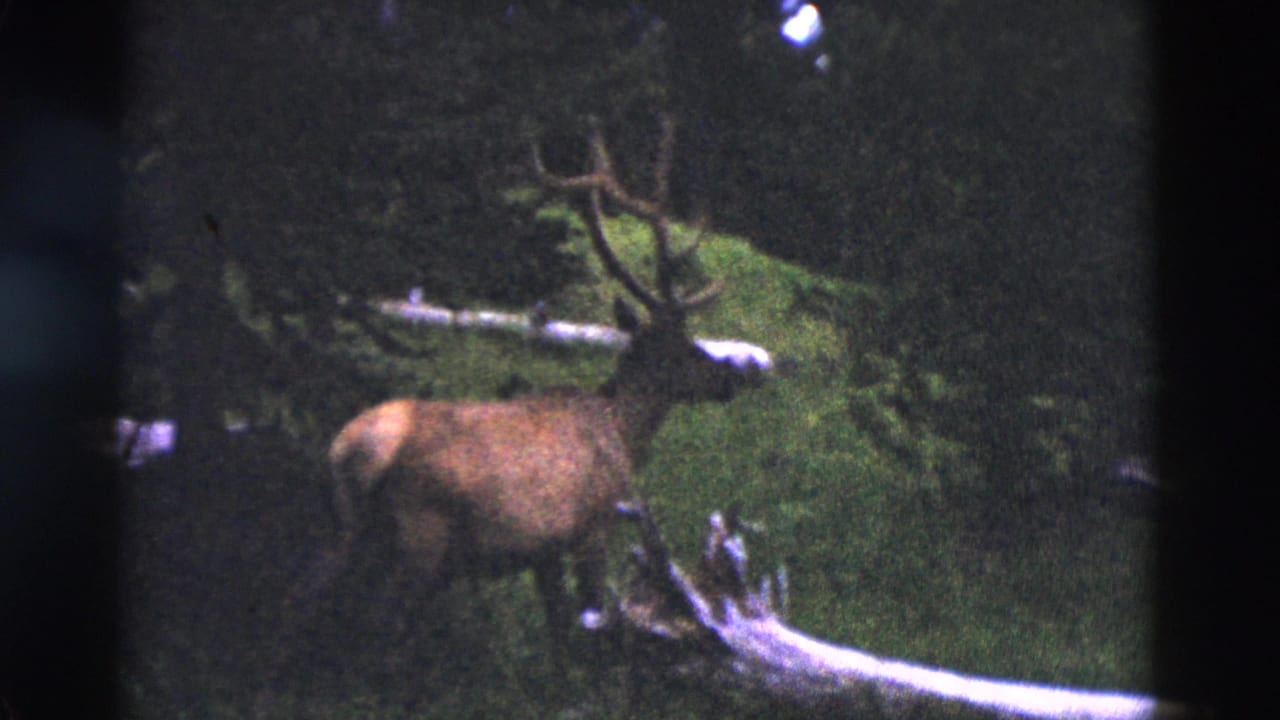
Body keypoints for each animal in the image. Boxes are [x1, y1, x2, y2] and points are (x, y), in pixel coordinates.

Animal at [285, 116, 762, 680]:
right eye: (686, 348)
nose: (727, 378)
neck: (623, 431)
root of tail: (354, 449)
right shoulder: (592, 525)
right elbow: (589, 617)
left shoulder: (543, 550)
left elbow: (558, 631)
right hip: (421, 531)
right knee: (381, 623)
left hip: (345, 525)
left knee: (305, 596)